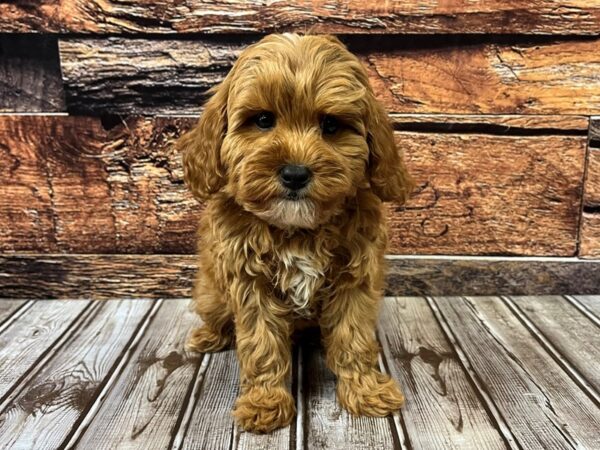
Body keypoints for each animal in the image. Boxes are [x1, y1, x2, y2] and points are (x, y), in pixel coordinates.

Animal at [177, 33, 412, 434]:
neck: (297, 230)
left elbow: (353, 336)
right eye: (262, 120)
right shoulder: (249, 282)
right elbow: (261, 344)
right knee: (216, 315)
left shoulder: (354, 279)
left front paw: (366, 390)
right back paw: (209, 335)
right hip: (211, 291)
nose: (295, 173)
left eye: (330, 126)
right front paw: (264, 402)